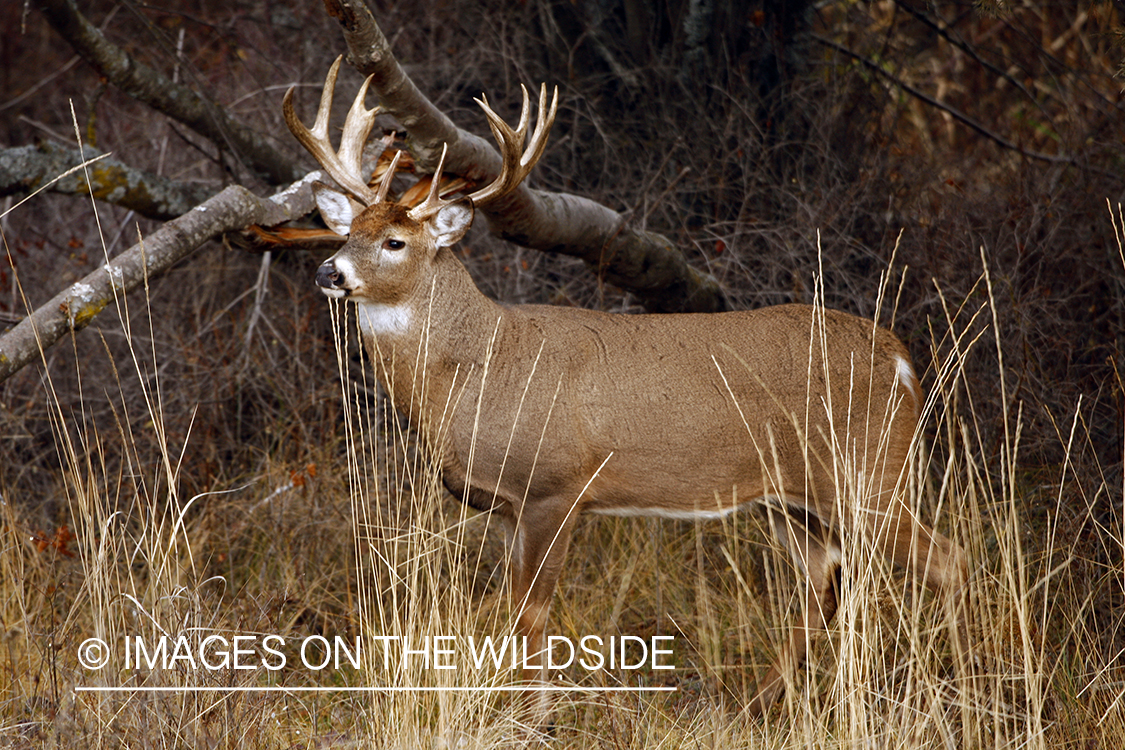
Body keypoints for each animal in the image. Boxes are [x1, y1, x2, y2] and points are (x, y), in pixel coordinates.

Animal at [281, 58, 967, 719]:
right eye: (347, 233)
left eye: (395, 241)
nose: (328, 271)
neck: (481, 366)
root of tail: (901, 359)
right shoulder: (505, 508)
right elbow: (513, 610)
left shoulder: (556, 485)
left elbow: (532, 616)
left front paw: (534, 719)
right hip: (794, 500)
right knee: (825, 587)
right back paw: (759, 705)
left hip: (869, 471)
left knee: (946, 560)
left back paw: (953, 687)